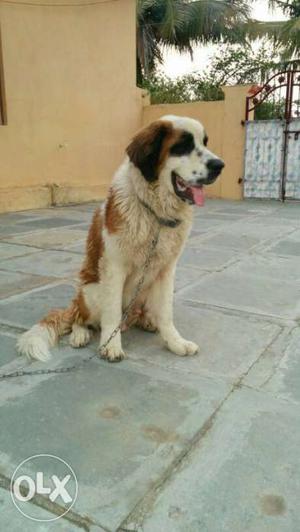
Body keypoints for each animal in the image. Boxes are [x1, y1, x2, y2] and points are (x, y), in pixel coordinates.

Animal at [17, 115, 224, 362]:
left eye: (204, 142)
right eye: (182, 146)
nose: (219, 166)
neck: (154, 213)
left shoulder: (166, 270)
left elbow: (166, 312)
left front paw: (175, 342)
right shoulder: (114, 267)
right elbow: (112, 313)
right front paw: (111, 345)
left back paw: (148, 321)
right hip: (91, 292)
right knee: (80, 317)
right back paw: (80, 334)